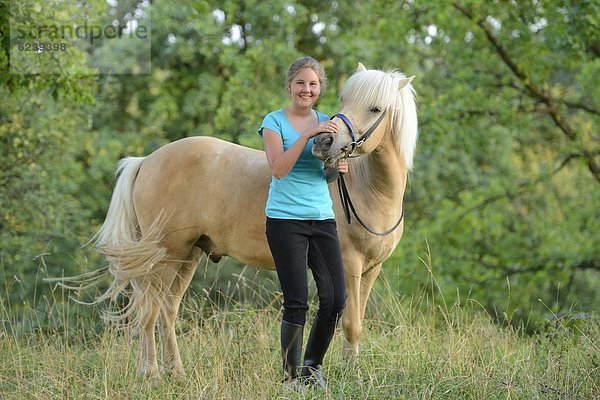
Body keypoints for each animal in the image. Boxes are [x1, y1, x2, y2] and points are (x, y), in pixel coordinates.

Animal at [75, 63, 418, 378]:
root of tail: (145, 161)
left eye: (375, 108)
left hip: (187, 255)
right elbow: (349, 322)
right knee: (150, 310)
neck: (369, 190)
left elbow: (355, 324)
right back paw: (151, 375)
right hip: (165, 256)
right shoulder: (349, 265)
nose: (323, 144)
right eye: (345, 100)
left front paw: (352, 371)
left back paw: (177, 373)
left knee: (167, 311)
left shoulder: (371, 269)